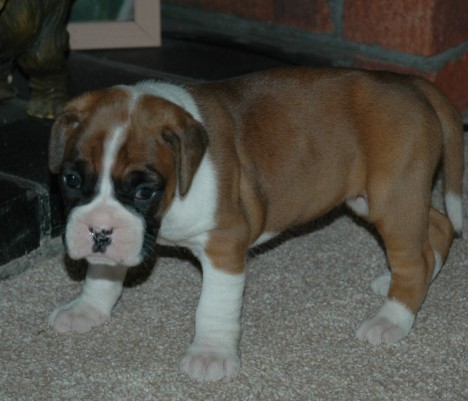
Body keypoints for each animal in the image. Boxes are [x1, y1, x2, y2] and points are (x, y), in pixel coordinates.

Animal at [48, 68, 464, 382]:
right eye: (71, 180)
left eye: (145, 191)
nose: (100, 232)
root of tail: (410, 82)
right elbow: (102, 274)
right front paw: (87, 309)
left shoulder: (224, 245)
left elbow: (214, 305)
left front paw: (211, 353)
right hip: (381, 198)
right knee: (438, 229)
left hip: (393, 197)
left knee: (414, 261)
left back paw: (391, 318)